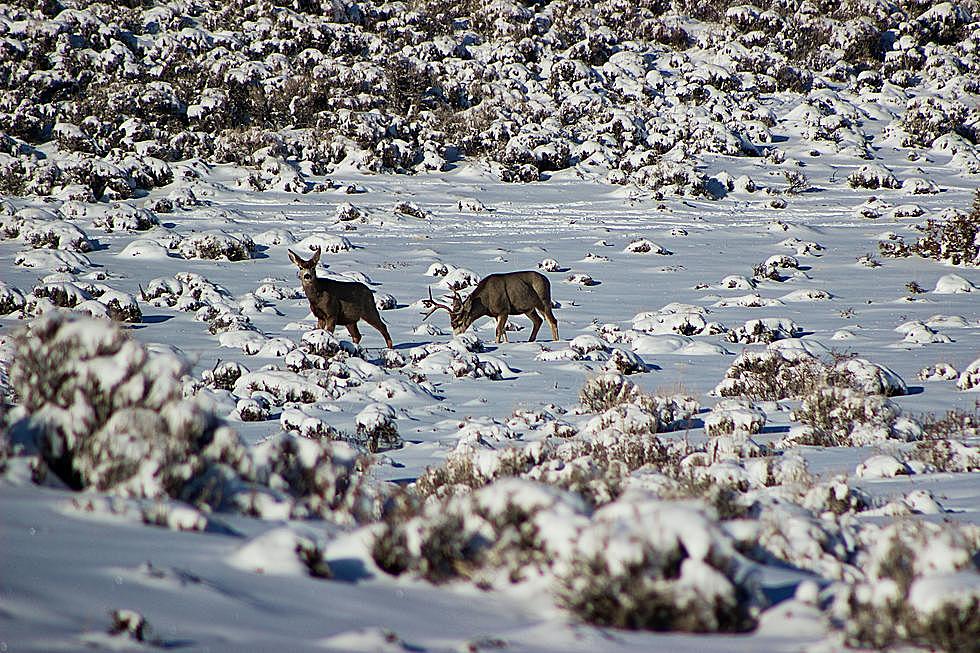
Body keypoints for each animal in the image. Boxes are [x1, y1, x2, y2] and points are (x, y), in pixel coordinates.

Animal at [422, 270, 560, 344]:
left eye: (459, 322)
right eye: (451, 324)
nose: (456, 338)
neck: (486, 301)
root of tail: (546, 280)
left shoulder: (504, 309)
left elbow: (498, 330)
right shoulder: (495, 314)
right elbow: (503, 330)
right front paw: (506, 343)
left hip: (543, 300)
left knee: (552, 320)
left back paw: (555, 341)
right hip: (529, 308)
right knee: (538, 320)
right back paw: (530, 340)